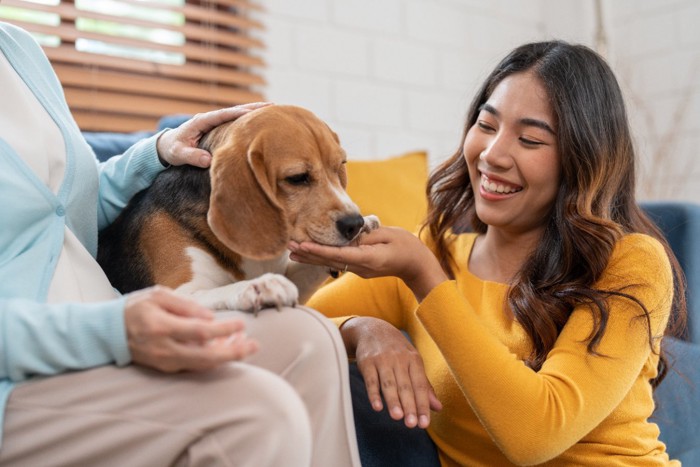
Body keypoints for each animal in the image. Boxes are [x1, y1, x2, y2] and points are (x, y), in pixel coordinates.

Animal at [97, 104, 378, 312]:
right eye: (298, 178)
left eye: (339, 166)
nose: (354, 224)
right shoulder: (176, 291)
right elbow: (219, 291)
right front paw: (260, 286)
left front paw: (368, 223)